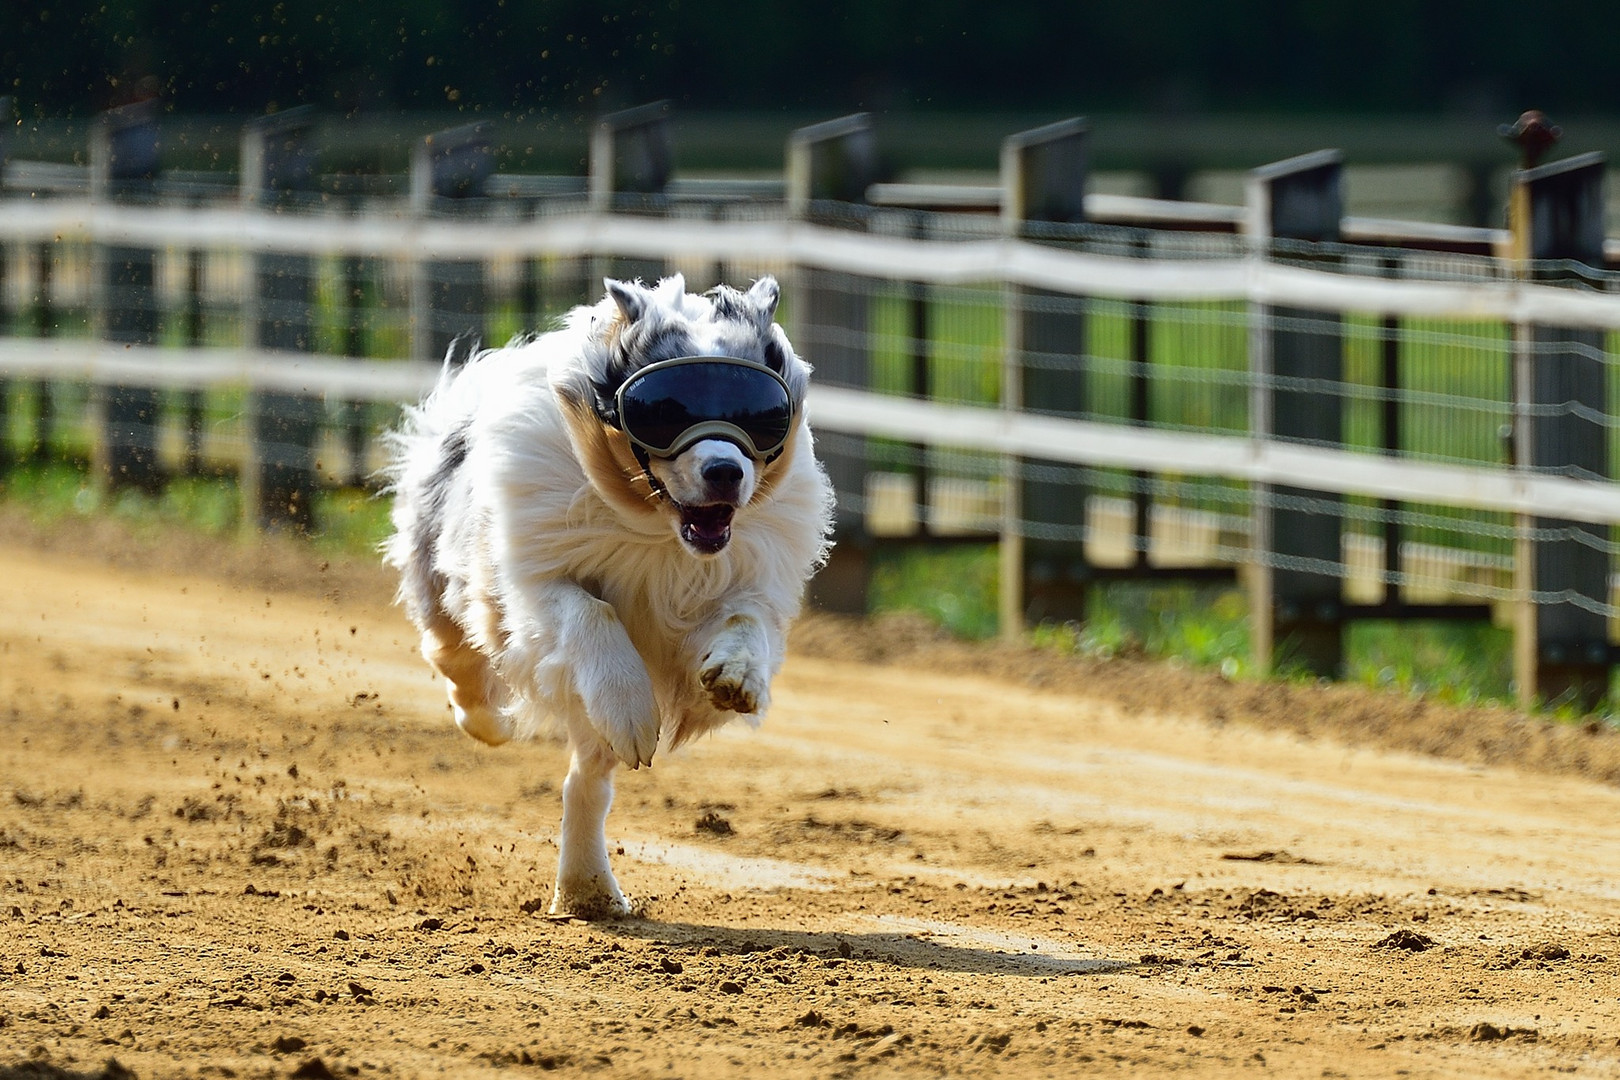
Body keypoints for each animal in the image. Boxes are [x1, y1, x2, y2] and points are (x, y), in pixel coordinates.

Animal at [382, 275, 835, 919]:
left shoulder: (734, 582)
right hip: (447, 578)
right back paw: (488, 722)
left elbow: (744, 620)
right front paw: (630, 708)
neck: (653, 530)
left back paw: (588, 889)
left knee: (584, 785)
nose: (726, 471)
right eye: (664, 411)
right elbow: (588, 610)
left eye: (762, 415)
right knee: (453, 654)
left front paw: (735, 678)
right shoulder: (534, 582)